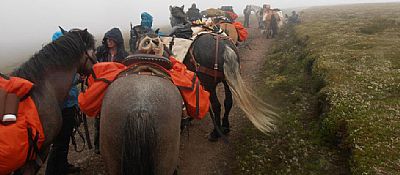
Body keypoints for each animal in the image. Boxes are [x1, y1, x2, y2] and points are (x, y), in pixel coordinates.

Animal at [170, 6, 278, 140]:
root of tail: (225, 46)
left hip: (209, 84)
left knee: (217, 105)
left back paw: (216, 132)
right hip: (226, 81)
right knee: (228, 102)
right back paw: (225, 127)